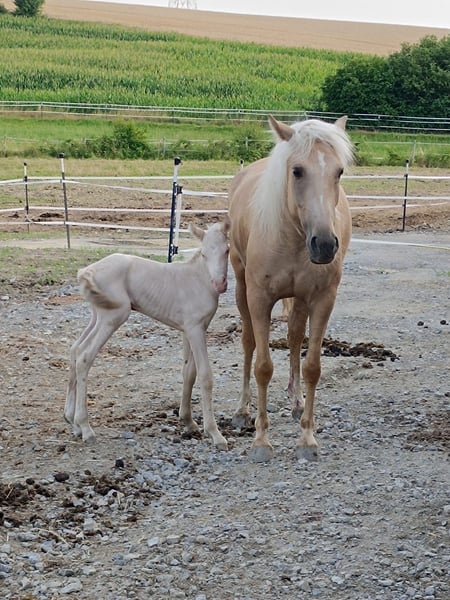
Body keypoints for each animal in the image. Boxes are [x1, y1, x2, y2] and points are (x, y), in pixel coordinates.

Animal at [64, 218, 231, 450]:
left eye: (227, 250)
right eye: (204, 254)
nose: (219, 284)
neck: (198, 279)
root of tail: (87, 271)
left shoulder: (189, 329)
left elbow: (189, 372)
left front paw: (188, 422)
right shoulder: (196, 330)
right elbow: (205, 375)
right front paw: (215, 434)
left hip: (98, 315)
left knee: (75, 350)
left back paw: (73, 422)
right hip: (113, 316)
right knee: (84, 356)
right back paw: (86, 427)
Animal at [228, 115, 354, 462]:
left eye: (339, 171)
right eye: (297, 171)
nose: (324, 245)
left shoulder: (323, 299)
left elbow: (312, 367)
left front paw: (307, 439)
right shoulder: (259, 299)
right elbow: (262, 366)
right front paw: (261, 441)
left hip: (300, 299)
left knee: (296, 339)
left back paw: (297, 403)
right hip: (241, 288)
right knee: (248, 343)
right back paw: (242, 411)